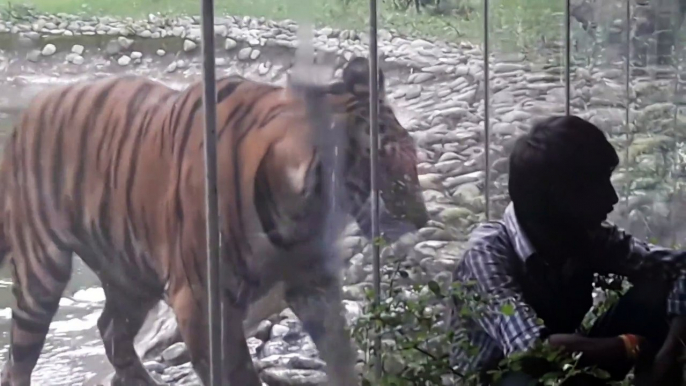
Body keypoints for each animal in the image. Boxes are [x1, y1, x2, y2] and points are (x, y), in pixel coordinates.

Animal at [0, 56, 430, 386]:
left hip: (130, 271)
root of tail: (27, 115)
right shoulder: (201, 300)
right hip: (44, 272)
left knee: (111, 331)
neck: (301, 216)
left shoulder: (314, 283)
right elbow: (236, 373)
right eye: (391, 177)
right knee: (19, 359)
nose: (423, 220)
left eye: (414, 161)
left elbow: (341, 353)